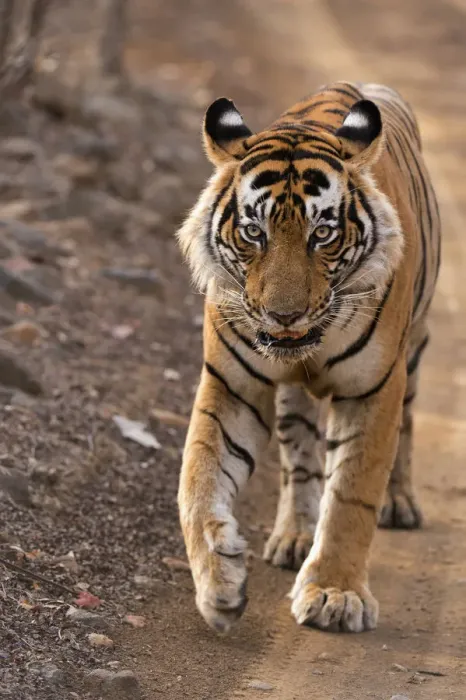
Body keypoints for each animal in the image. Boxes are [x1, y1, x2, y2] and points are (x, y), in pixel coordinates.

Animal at [176, 81, 440, 634]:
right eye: (254, 232)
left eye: (323, 234)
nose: (284, 316)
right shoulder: (232, 385)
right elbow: (198, 480)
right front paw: (218, 582)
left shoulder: (373, 389)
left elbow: (352, 495)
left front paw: (335, 594)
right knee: (297, 455)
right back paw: (295, 534)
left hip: (415, 349)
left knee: (406, 427)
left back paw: (399, 503)